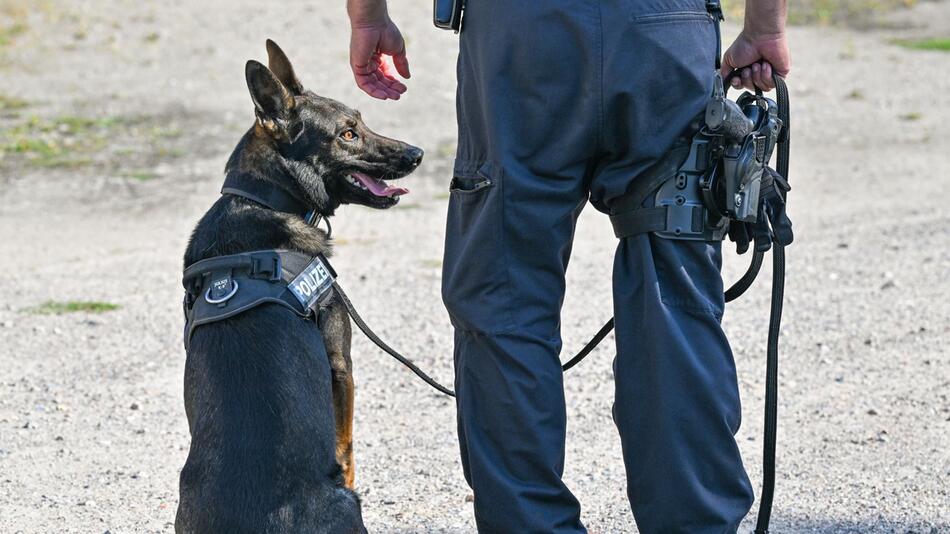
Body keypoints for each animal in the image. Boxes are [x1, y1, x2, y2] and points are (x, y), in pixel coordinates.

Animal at [177, 40, 422, 534]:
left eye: (361, 122)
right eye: (347, 134)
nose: (416, 153)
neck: (264, 199)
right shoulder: (340, 364)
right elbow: (347, 447)